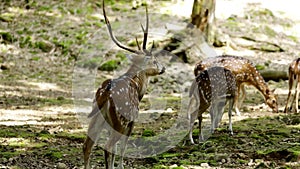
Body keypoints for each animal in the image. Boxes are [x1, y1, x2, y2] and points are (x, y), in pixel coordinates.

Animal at [82, 0, 166, 168]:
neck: (139, 90)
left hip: (98, 117)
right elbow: (122, 148)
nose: (163, 68)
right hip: (121, 118)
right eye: (154, 60)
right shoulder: (133, 120)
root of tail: (106, 93)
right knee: (107, 146)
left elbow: (116, 149)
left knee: (88, 145)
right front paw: (120, 166)